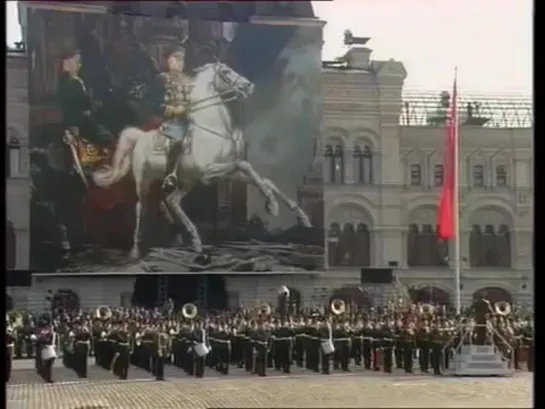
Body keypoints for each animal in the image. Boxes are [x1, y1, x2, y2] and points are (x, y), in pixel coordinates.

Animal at [93, 60, 310, 256]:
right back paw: (137, 250)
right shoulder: (208, 173)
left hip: (185, 182)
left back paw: (188, 239)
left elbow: (262, 179)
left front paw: (299, 214)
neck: (213, 129)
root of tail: (140, 136)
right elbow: (245, 164)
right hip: (144, 181)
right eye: (225, 71)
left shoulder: (224, 173)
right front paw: (272, 206)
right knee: (142, 207)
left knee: (170, 201)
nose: (249, 85)